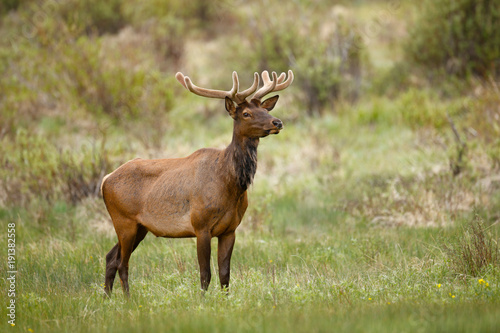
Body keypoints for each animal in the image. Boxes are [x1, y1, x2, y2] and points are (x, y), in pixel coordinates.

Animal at [103, 68, 294, 296]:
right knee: (122, 263)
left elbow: (225, 274)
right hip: (123, 220)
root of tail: (105, 180)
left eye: (264, 109)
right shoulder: (200, 226)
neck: (229, 185)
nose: (277, 122)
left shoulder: (230, 229)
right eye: (246, 113)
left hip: (140, 227)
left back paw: (107, 298)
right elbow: (205, 274)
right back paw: (128, 299)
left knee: (110, 258)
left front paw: (226, 300)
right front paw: (202, 301)